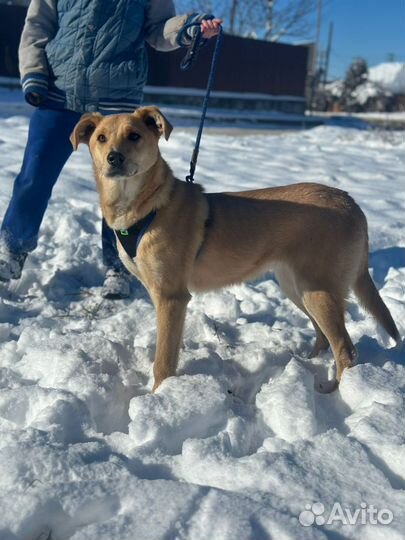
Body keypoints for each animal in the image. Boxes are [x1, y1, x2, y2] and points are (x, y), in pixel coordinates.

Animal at [70, 106, 400, 392]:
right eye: (101, 138)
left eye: (134, 136)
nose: (113, 158)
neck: (144, 207)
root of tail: (351, 202)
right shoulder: (160, 295)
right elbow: (170, 347)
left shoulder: (171, 296)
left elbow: (163, 361)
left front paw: (159, 396)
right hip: (298, 287)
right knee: (323, 335)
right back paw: (309, 363)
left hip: (318, 290)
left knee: (345, 349)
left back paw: (337, 393)